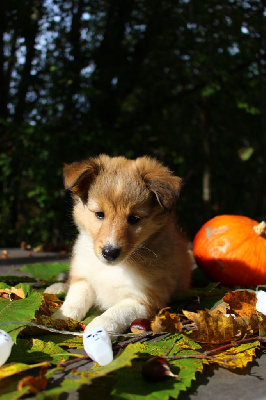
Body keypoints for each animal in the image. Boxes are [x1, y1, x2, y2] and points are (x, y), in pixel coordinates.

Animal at [45, 156, 191, 334]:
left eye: (134, 218)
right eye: (99, 214)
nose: (109, 253)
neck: (114, 268)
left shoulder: (145, 299)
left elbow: (116, 312)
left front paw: (98, 328)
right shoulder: (84, 278)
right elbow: (75, 299)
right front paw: (60, 317)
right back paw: (56, 287)